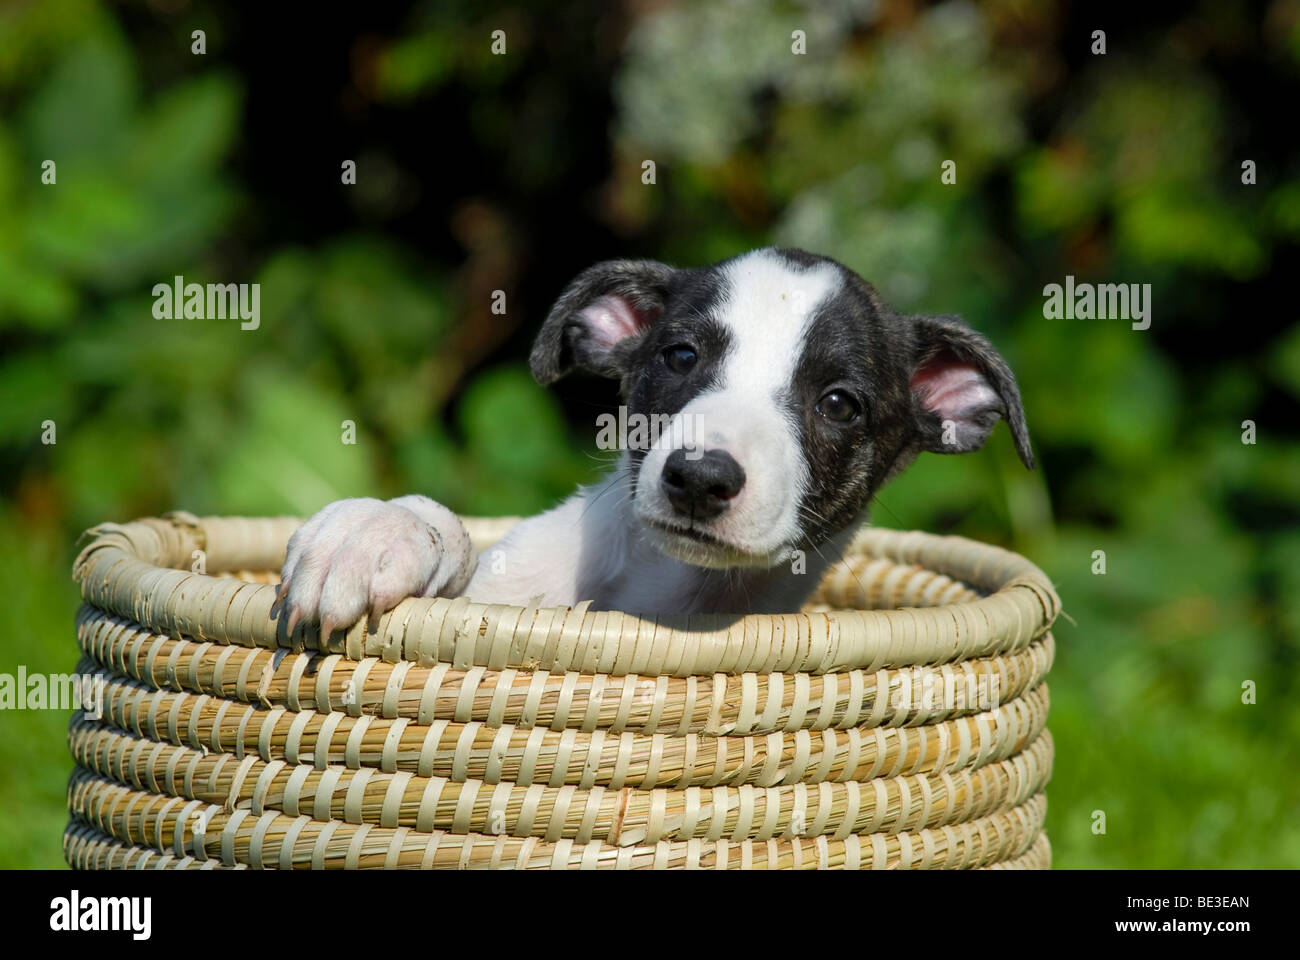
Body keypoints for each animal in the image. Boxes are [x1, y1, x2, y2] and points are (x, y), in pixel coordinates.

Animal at [269, 247, 1029, 629]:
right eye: (681, 356)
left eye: (840, 404)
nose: (699, 478)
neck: (667, 585)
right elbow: (445, 532)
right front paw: (376, 534)